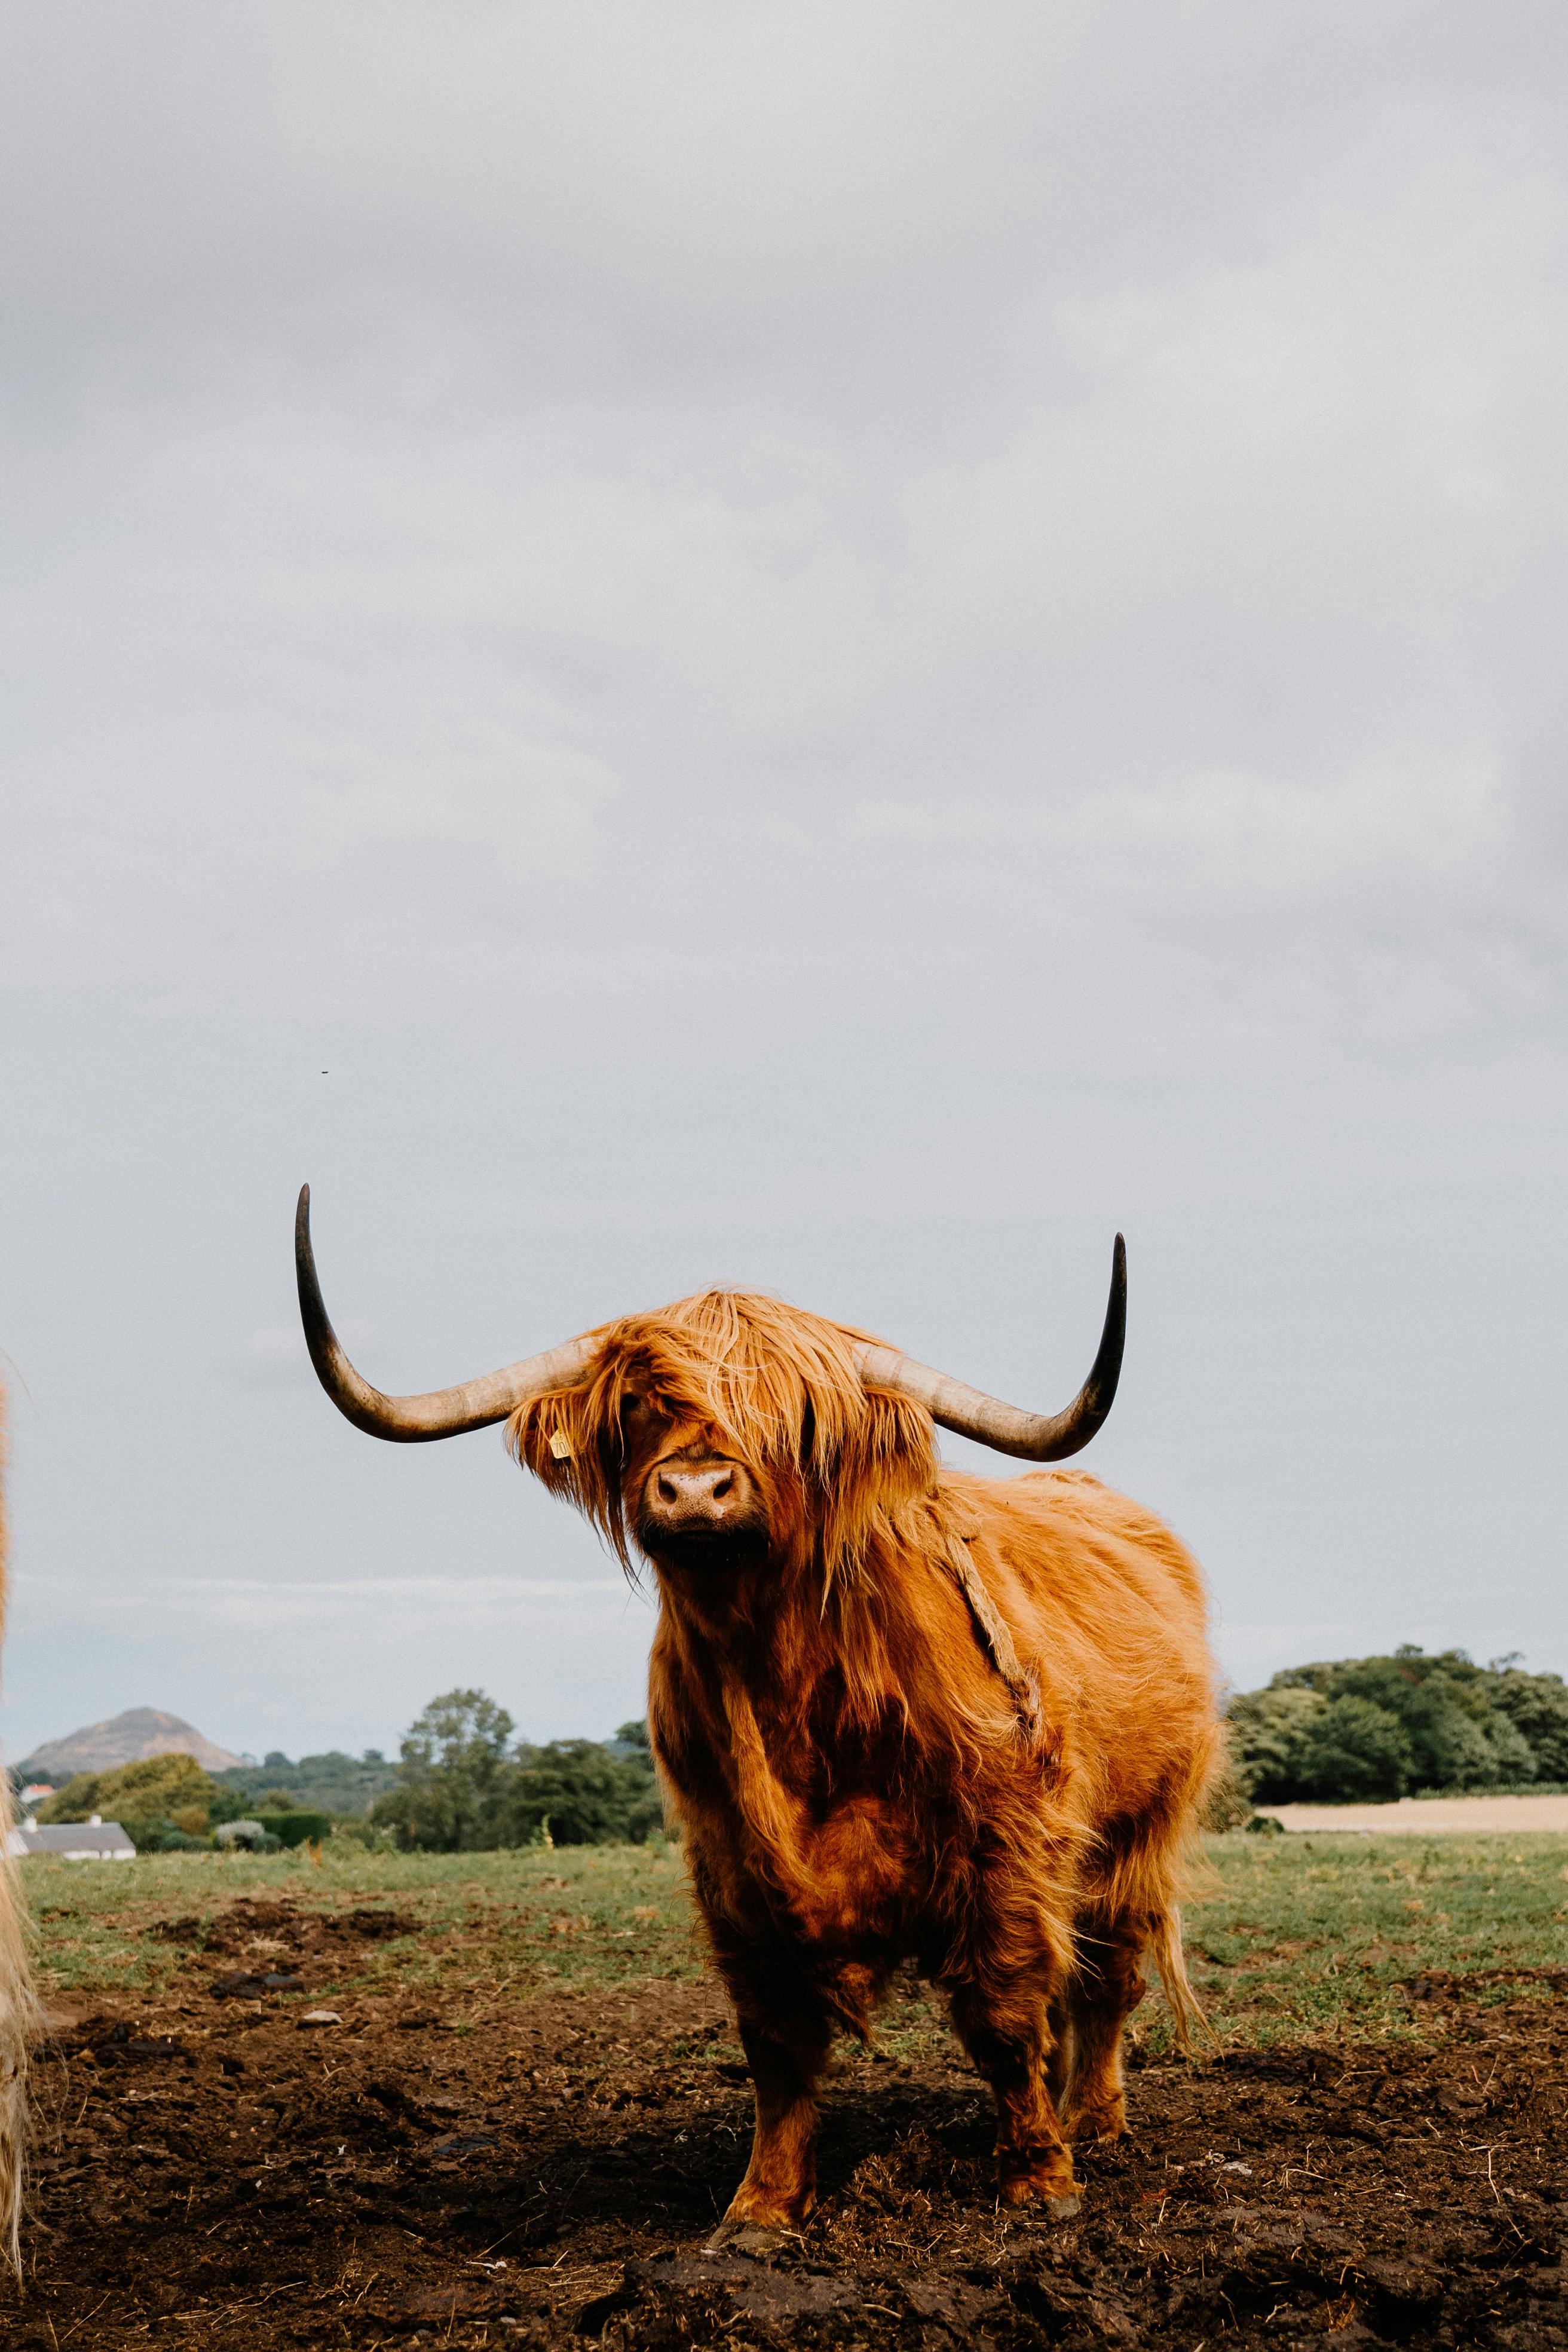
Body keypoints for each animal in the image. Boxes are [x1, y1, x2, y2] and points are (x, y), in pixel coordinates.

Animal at [296, 1188, 1221, 2237]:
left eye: (794, 1419)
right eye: (640, 1406)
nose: (696, 1489)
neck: (794, 1695)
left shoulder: (1005, 1849)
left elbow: (1004, 2015)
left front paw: (1039, 2180)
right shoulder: (732, 1866)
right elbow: (776, 2046)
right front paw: (762, 2208)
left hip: (1137, 1835)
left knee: (1106, 1979)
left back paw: (1093, 2122)